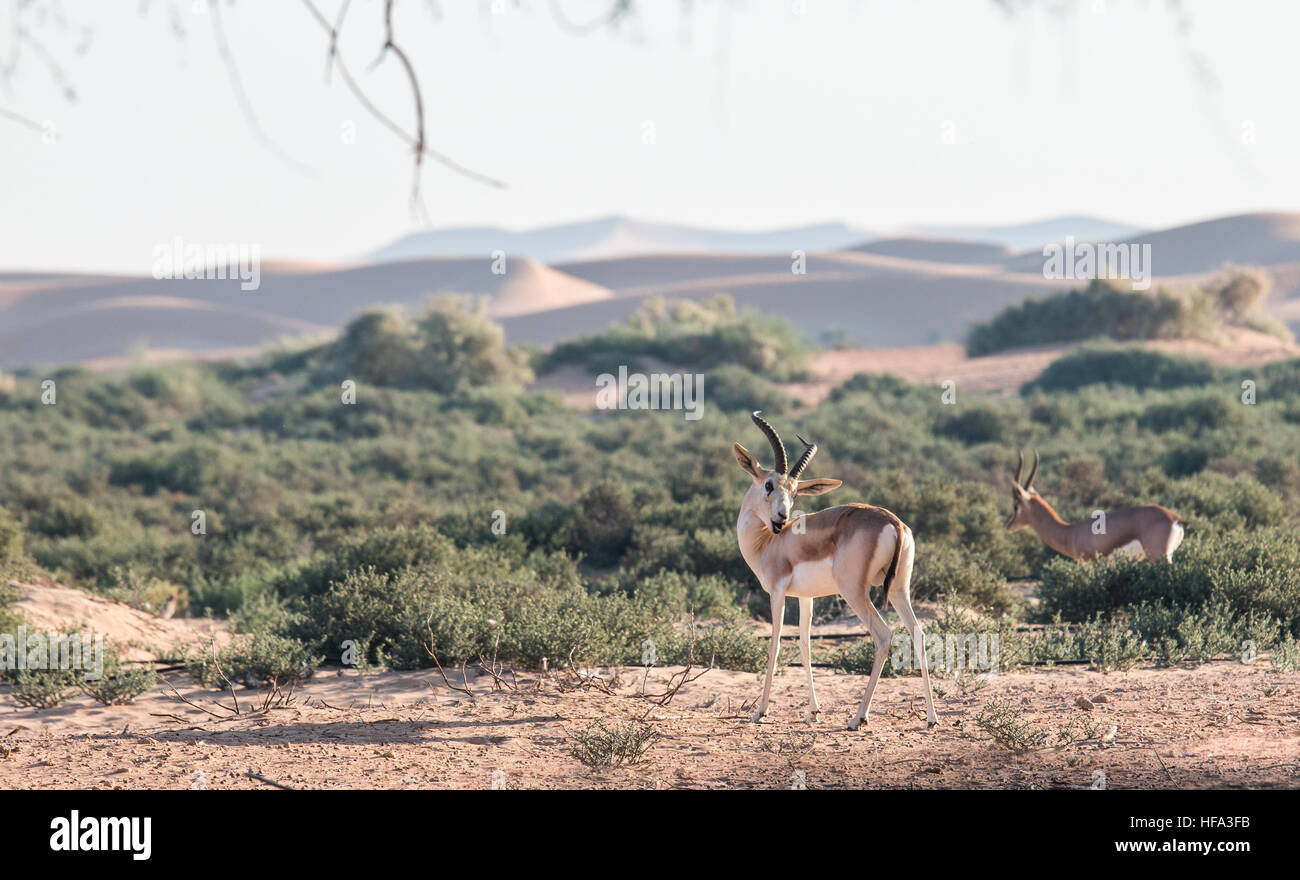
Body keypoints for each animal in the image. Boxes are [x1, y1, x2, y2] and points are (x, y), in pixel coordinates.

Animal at [733, 412, 938, 731]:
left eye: (794, 492)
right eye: (769, 485)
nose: (782, 518)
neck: (768, 542)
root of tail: (892, 521)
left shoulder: (777, 593)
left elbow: (775, 645)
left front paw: (760, 712)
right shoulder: (805, 597)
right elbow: (804, 645)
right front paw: (813, 711)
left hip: (854, 592)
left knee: (883, 636)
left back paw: (858, 718)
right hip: (898, 590)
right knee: (918, 633)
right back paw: (931, 718)